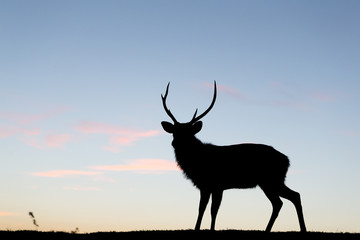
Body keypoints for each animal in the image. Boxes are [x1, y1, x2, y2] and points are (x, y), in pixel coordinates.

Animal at [160, 81, 306, 232]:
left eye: (189, 133)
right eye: (174, 132)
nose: (175, 143)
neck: (197, 161)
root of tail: (287, 160)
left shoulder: (214, 184)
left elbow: (210, 209)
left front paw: (207, 229)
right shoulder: (209, 186)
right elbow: (204, 209)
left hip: (271, 180)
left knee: (288, 198)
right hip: (272, 181)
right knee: (287, 199)